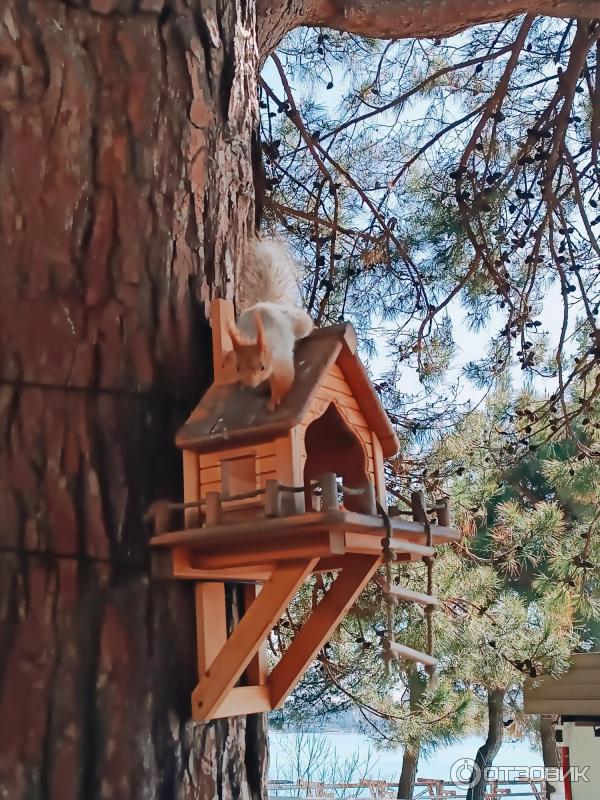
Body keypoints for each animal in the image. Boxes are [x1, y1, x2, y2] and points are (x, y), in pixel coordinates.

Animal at [226, 239, 314, 410]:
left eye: (262, 366)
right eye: (238, 368)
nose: (249, 384)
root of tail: (267, 304)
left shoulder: (281, 362)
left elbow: (284, 381)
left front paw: (273, 402)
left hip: (298, 322)